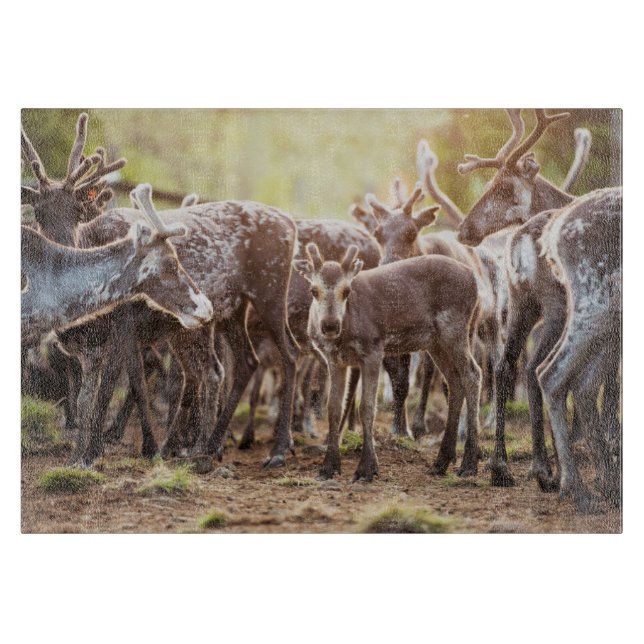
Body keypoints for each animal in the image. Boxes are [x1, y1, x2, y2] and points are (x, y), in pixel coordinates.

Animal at [294, 242, 482, 482]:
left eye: (346, 291)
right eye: (313, 290)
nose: (329, 326)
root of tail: (473, 278)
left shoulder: (373, 351)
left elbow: (367, 407)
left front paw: (367, 468)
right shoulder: (335, 361)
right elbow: (334, 408)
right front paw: (328, 466)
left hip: (455, 328)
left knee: (473, 374)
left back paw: (469, 463)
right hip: (435, 342)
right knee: (454, 381)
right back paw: (441, 462)